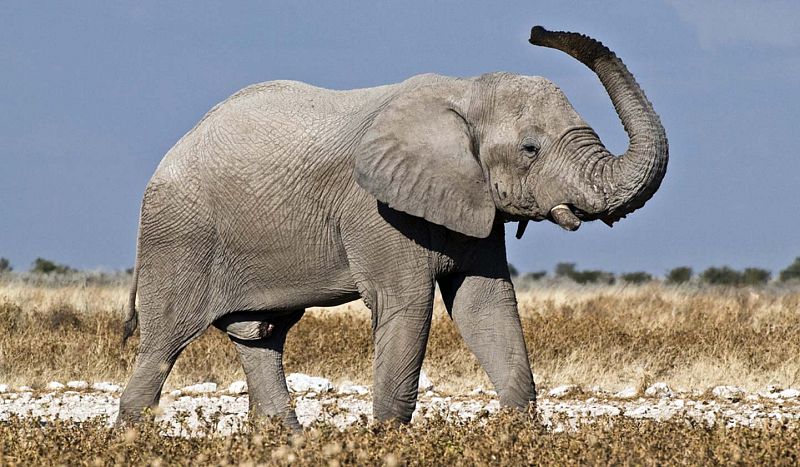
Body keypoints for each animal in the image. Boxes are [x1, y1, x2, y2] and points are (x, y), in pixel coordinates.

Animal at [118, 26, 667, 429]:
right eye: (530, 148)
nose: (537, 31)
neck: (464, 91)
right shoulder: (375, 209)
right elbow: (408, 306)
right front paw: (386, 442)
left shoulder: (473, 203)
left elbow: (487, 306)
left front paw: (522, 440)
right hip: (178, 235)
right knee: (162, 347)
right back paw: (134, 440)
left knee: (260, 338)